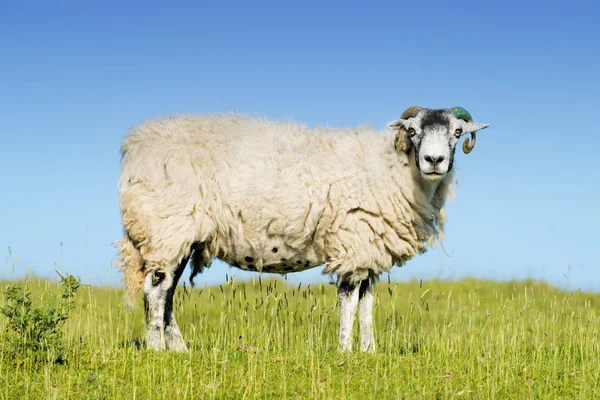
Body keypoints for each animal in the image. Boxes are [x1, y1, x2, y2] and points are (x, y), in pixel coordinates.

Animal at [118, 107, 492, 354]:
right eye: (412, 132)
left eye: (457, 133)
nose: (434, 161)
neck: (395, 169)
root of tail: (135, 146)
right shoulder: (352, 242)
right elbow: (348, 300)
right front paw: (345, 351)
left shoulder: (369, 249)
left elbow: (368, 302)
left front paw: (369, 351)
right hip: (169, 225)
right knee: (156, 292)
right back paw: (157, 350)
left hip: (178, 233)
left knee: (167, 294)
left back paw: (180, 349)